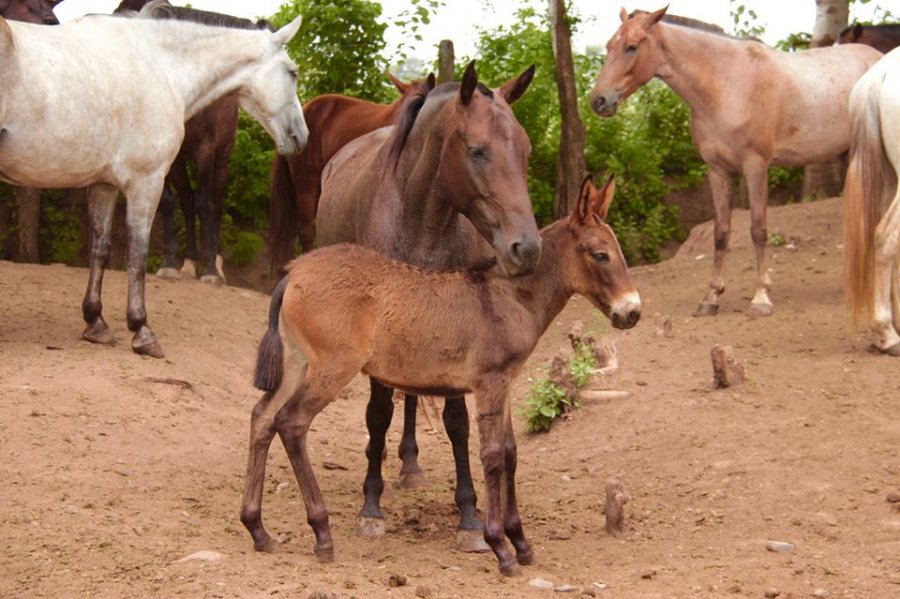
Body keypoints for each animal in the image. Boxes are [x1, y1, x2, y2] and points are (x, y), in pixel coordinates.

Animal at [116, 0, 272, 285]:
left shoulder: (205, 154)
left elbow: (205, 205)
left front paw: (209, 269)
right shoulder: (169, 159)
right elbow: (170, 203)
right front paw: (169, 264)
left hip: (221, 161)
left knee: (216, 205)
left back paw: (216, 265)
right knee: (187, 202)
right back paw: (188, 264)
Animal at [240, 174, 641, 575]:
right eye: (600, 255)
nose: (632, 312)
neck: (512, 296)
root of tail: (293, 274)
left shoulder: (506, 384)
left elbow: (511, 454)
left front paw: (522, 543)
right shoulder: (489, 382)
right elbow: (493, 456)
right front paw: (500, 547)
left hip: (297, 365)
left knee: (262, 417)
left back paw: (258, 530)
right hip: (332, 369)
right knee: (291, 423)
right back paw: (322, 533)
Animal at [315, 60, 541, 553]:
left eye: (526, 150)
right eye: (477, 150)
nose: (526, 248)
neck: (423, 220)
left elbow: (456, 421)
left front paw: (470, 515)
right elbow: (378, 413)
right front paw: (371, 507)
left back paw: (411, 465)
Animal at [588, 7, 883, 317]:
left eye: (632, 47)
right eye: (609, 46)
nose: (598, 101)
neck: (725, 85)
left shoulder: (755, 167)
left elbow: (758, 229)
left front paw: (761, 297)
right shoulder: (717, 170)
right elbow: (721, 232)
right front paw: (711, 297)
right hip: (850, 154)